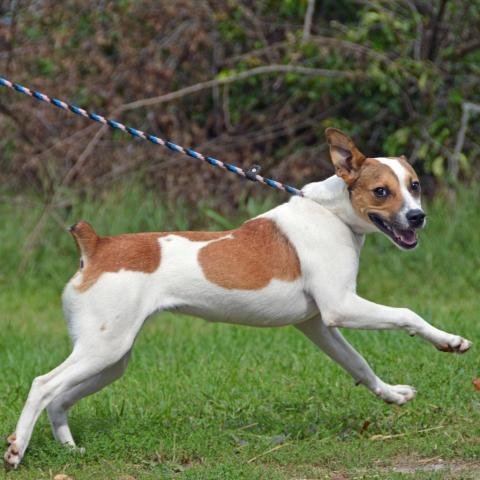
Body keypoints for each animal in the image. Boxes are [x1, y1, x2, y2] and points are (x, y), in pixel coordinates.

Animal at [4, 128, 472, 468]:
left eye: (415, 186)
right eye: (381, 192)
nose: (418, 217)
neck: (332, 214)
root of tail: (96, 246)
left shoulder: (316, 324)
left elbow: (358, 364)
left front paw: (391, 394)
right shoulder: (341, 309)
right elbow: (408, 314)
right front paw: (450, 341)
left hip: (109, 357)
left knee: (59, 398)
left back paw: (70, 451)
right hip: (103, 349)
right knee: (42, 385)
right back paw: (16, 451)